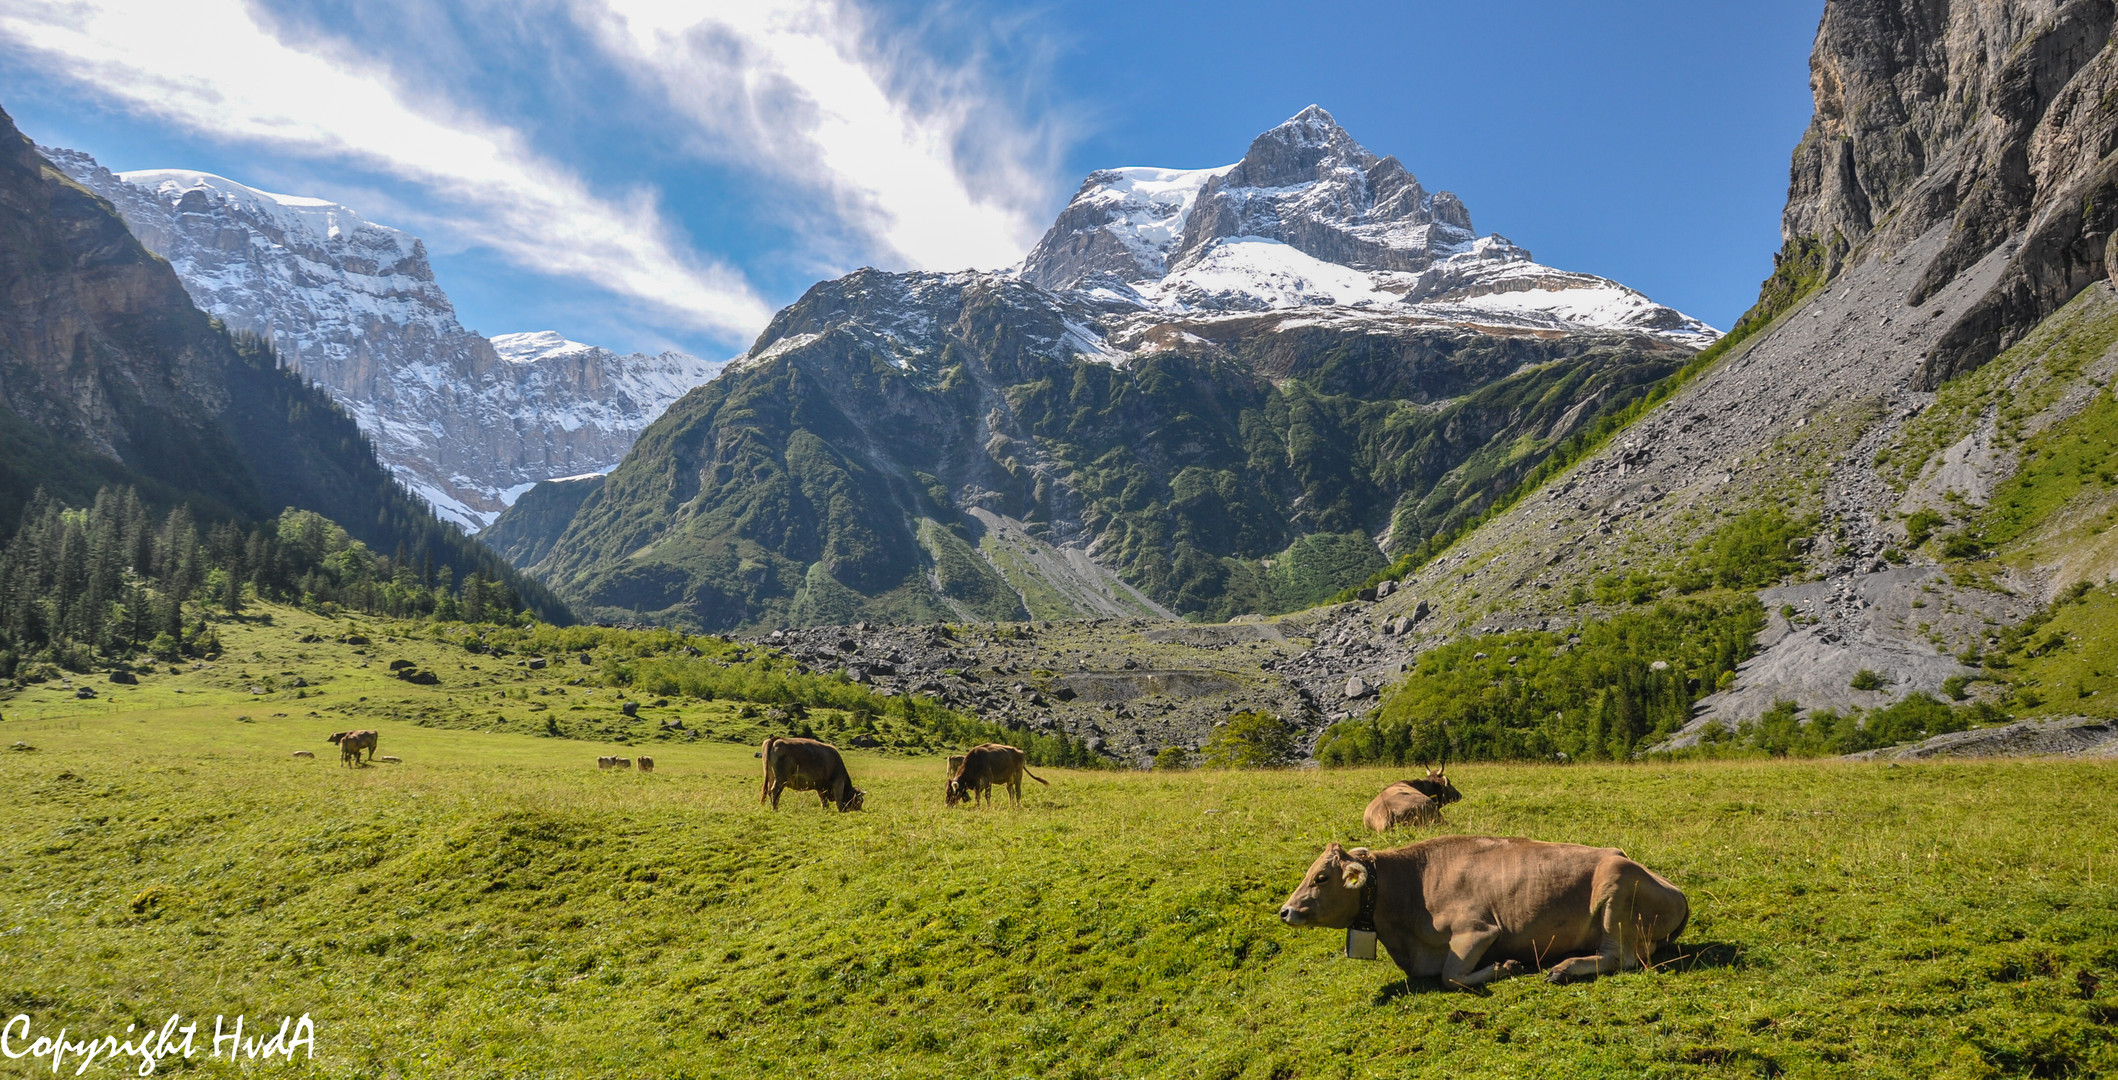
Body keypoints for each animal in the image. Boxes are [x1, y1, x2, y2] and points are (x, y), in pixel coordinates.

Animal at [1270, 838, 1685, 991]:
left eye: (1321, 877)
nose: (1285, 911)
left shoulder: (1479, 930)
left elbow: (1451, 977)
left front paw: (1505, 967)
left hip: (1616, 887)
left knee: (1622, 958)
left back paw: (1564, 968)